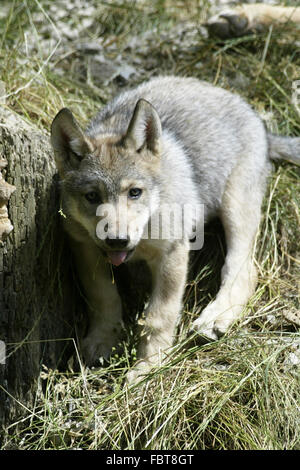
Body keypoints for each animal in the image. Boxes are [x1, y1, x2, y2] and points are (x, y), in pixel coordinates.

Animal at [50, 77, 298, 384]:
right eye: (92, 196)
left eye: (134, 192)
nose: (117, 240)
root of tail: (258, 121)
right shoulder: (85, 247)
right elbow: (103, 297)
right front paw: (101, 341)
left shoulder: (172, 253)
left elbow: (159, 316)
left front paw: (148, 368)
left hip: (235, 208)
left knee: (243, 269)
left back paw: (215, 318)